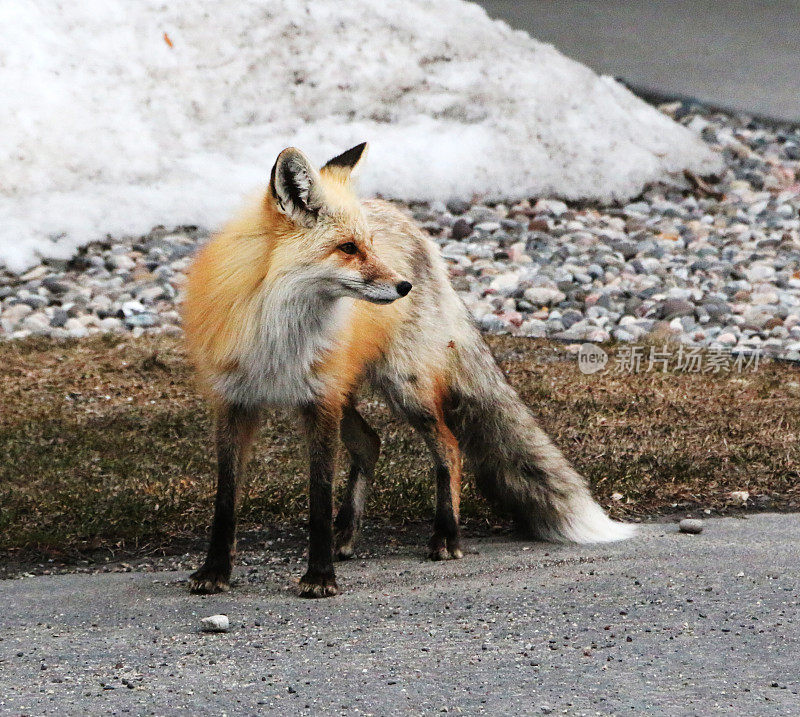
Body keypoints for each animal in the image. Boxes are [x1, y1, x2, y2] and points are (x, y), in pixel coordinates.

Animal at [184, 143, 636, 596]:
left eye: (368, 245)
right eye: (348, 248)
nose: (404, 287)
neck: (277, 330)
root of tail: (413, 227)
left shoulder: (321, 401)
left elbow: (319, 499)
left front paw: (319, 576)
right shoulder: (235, 402)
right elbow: (225, 500)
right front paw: (214, 571)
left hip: (406, 387)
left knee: (449, 447)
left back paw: (446, 536)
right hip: (356, 394)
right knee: (371, 443)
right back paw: (346, 535)